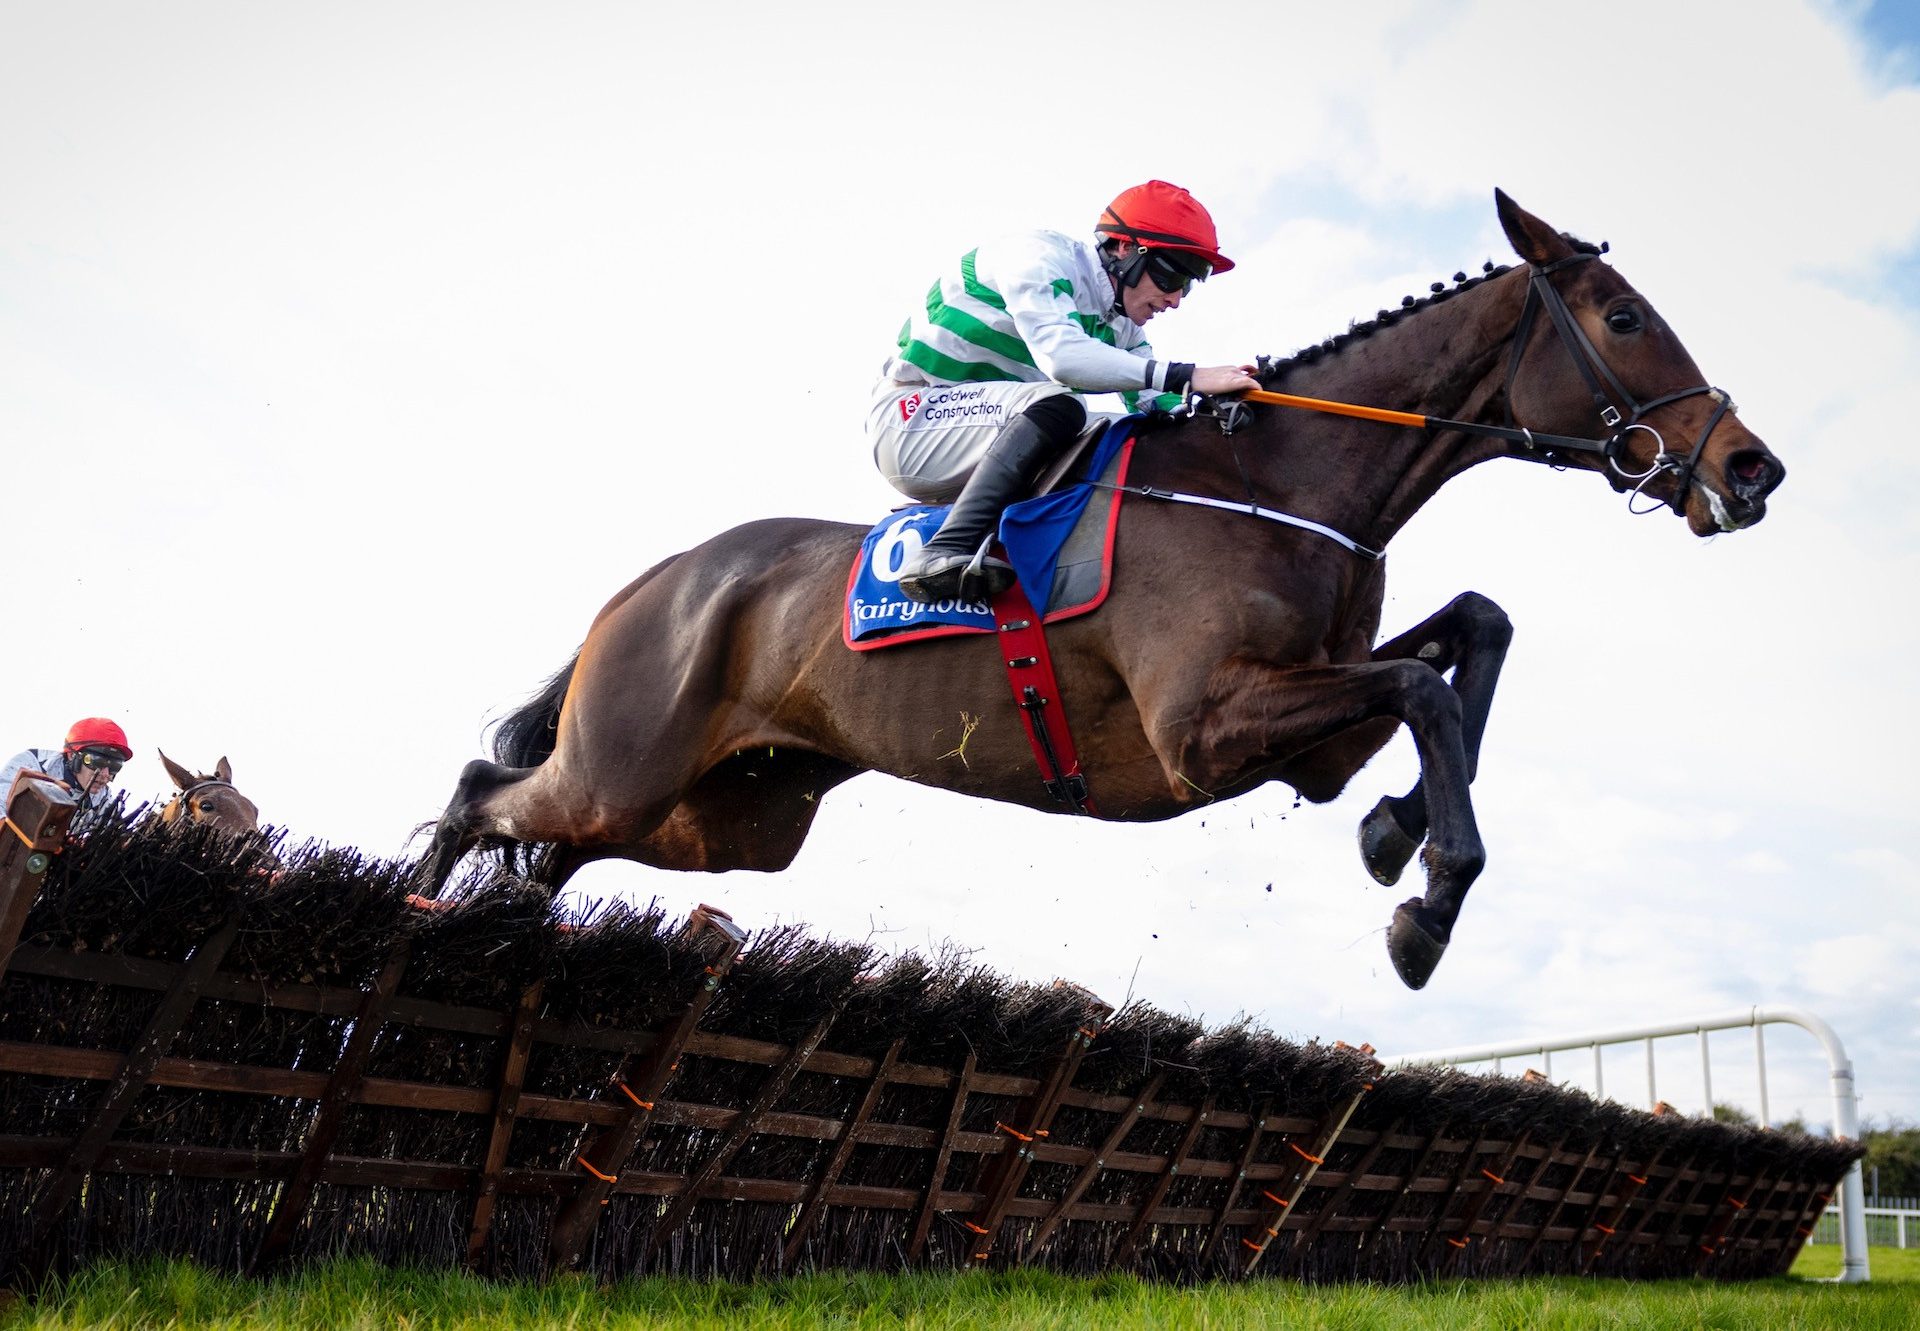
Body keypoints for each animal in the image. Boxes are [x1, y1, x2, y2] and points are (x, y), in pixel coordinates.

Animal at [420, 194, 1781, 983]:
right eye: (1624, 316)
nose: (1751, 467)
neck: (1277, 476)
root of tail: (649, 584)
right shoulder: (1203, 732)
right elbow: (1424, 687)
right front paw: (1426, 899)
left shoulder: (1308, 736)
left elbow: (1465, 642)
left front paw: (1396, 832)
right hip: (632, 766)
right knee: (486, 789)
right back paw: (414, 917)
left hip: (731, 816)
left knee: (545, 849)